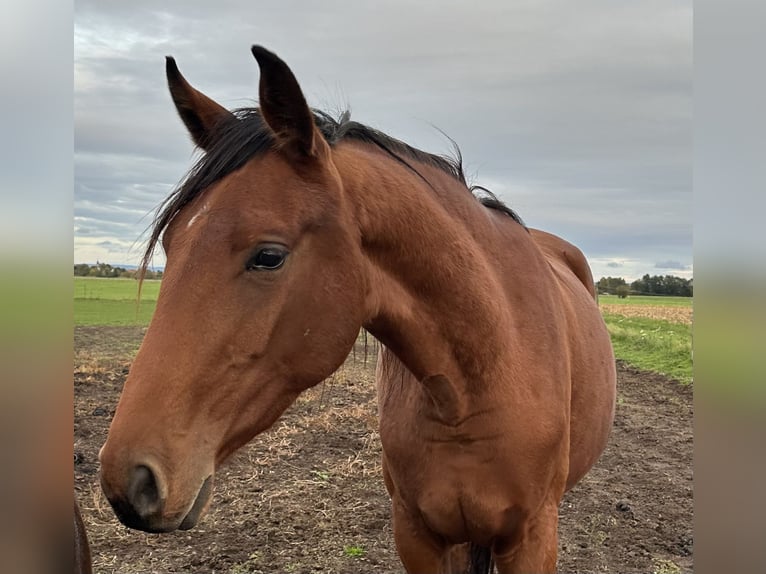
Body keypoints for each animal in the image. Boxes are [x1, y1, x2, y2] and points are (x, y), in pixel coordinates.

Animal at [99, 45, 616, 573]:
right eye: (171, 242)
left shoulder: (531, 539)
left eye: (269, 256)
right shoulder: (417, 534)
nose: (131, 480)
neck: (474, 389)